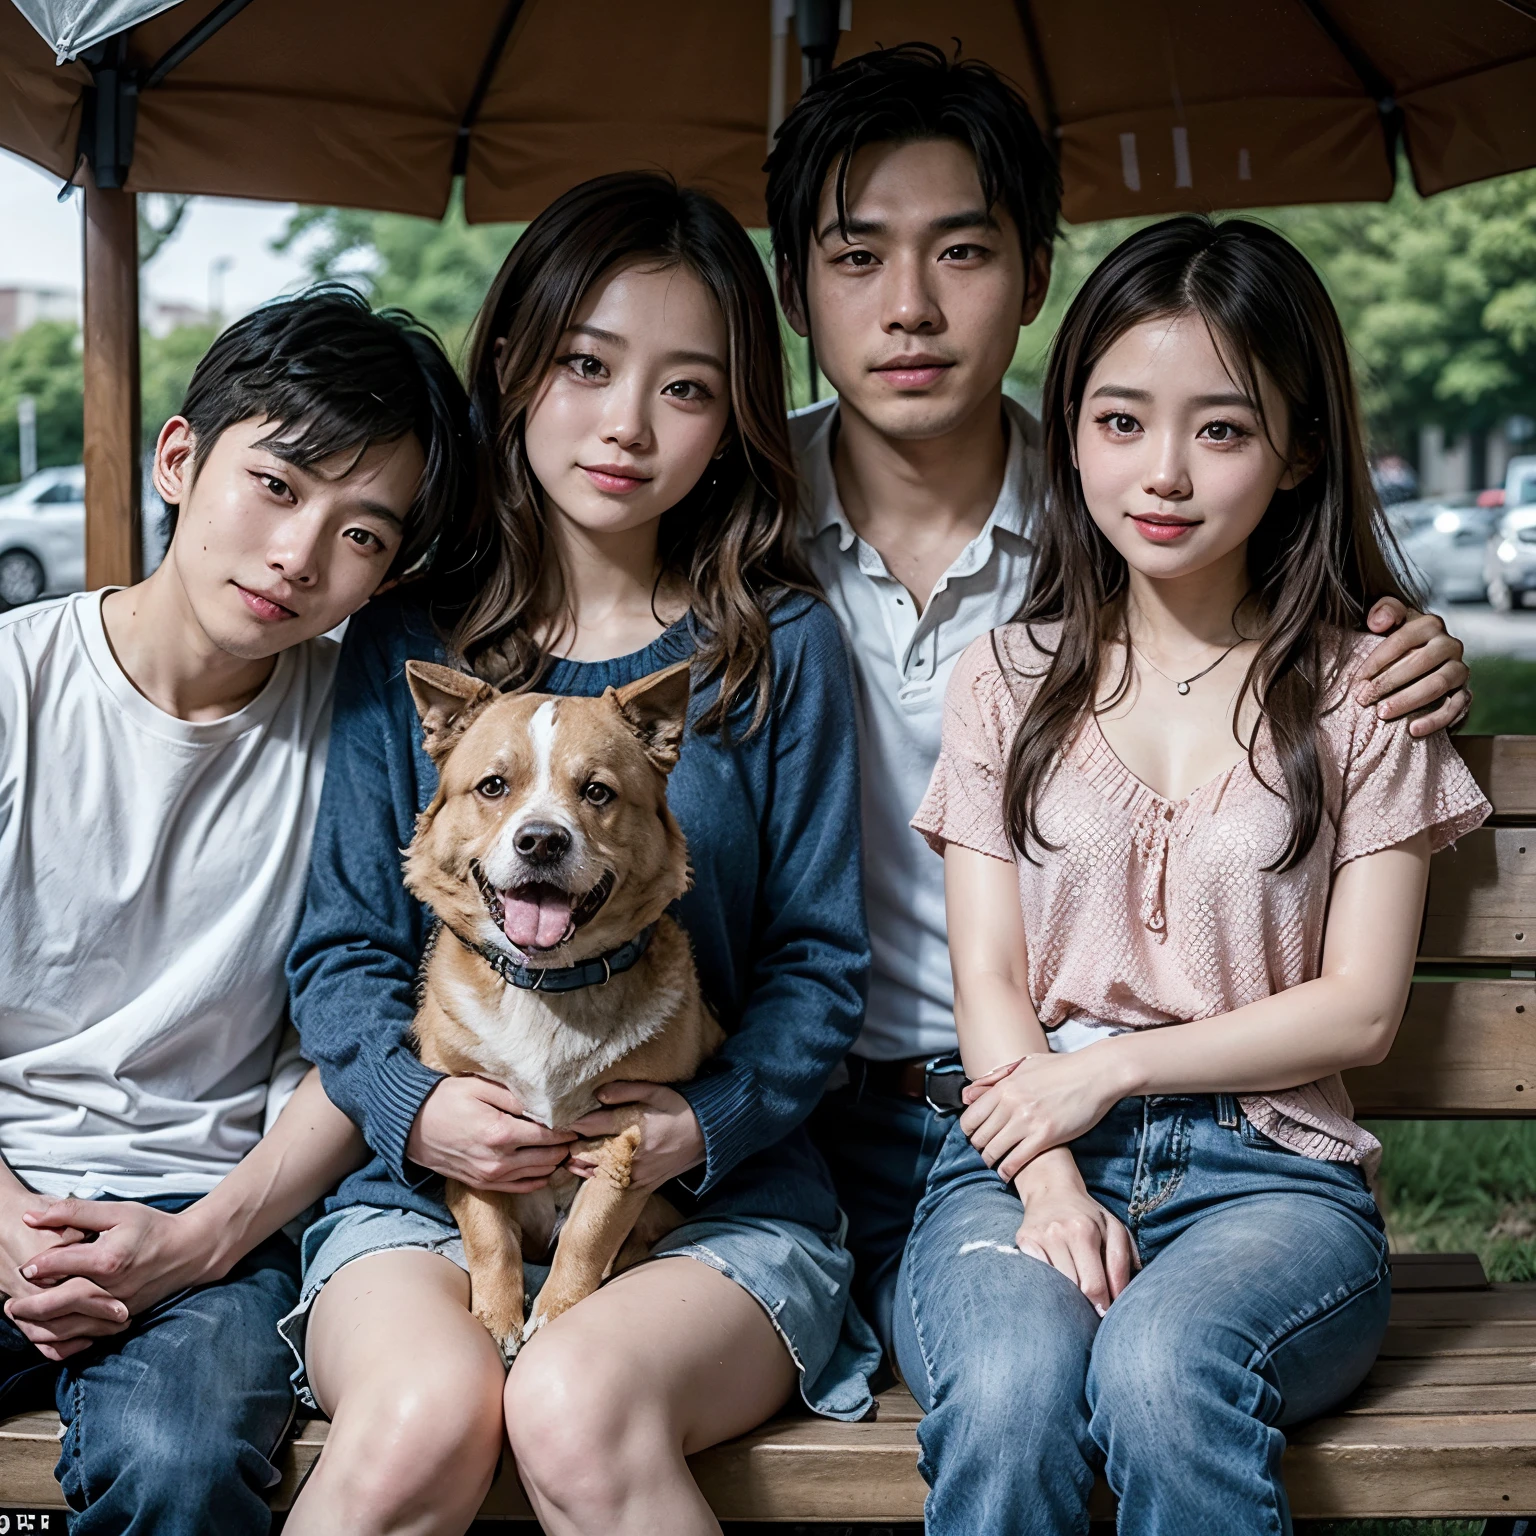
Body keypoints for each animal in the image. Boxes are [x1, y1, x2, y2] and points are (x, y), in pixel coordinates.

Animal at [405, 657, 721, 1357]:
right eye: (493, 786)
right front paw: (496, 1319)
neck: (547, 987)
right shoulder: (466, 1130)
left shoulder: (628, 1136)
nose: (542, 841)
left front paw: (555, 1315)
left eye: (597, 792)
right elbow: (489, 1239)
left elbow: (586, 1237)